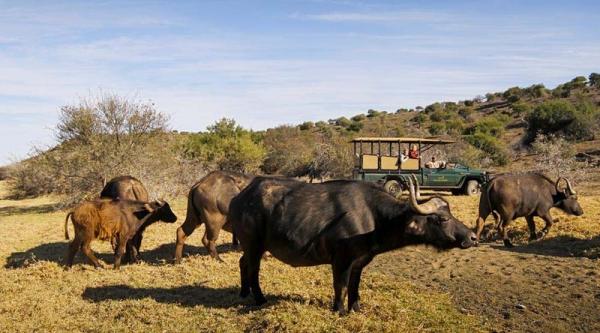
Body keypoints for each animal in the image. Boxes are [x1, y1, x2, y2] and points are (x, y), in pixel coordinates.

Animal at [227, 175, 476, 312]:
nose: (473, 237)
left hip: (251, 246)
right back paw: (259, 298)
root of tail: (240, 198)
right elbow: (342, 287)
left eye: (450, 213)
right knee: (253, 269)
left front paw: (355, 308)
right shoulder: (341, 261)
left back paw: (243, 293)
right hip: (254, 245)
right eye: (442, 219)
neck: (374, 218)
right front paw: (339, 310)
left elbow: (355, 287)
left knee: (242, 263)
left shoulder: (359, 262)